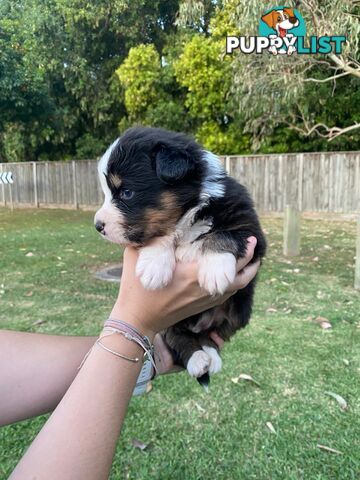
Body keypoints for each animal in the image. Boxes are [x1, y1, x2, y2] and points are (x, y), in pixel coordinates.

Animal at [94, 125, 266, 384]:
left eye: (126, 193)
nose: (98, 226)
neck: (189, 214)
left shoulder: (252, 232)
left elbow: (223, 235)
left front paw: (214, 271)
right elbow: (159, 236)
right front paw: (154, 268)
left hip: (239, 311)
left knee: (209, 335)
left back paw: (210, 356)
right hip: (173, 320)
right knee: (177, 335)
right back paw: (197, 359)